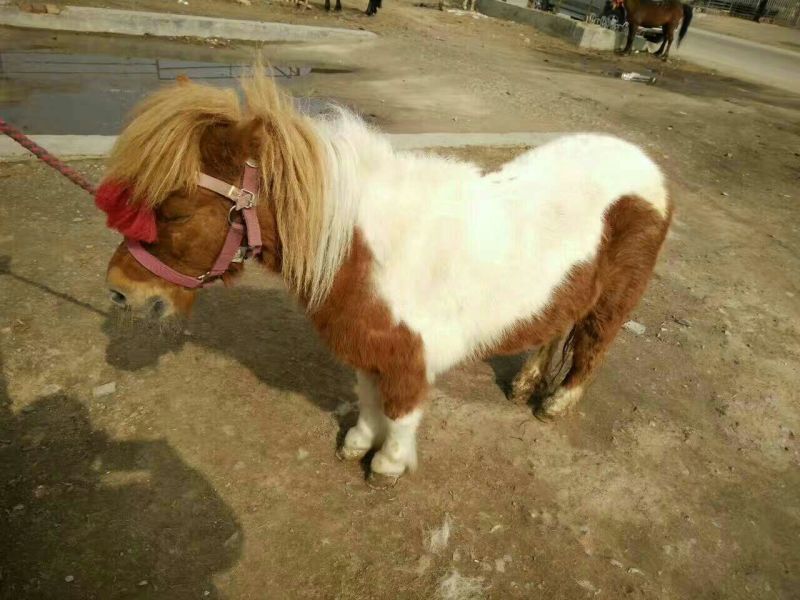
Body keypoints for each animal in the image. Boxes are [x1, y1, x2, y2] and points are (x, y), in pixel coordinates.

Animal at [96, 71, 673, 484]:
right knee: (555, 330)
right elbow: (370, 399)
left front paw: (388, 465)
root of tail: (647, 167)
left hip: (614, 299)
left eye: (175, 211)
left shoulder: (408, 356)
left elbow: (401, 412)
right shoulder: (369, 347)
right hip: (569, 288)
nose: (121, 290)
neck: (370, 246)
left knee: (592, 345)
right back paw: (526, 384)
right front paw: (356, 444)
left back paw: (554, 404)